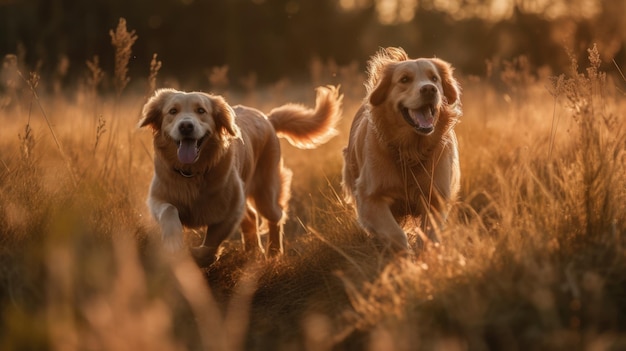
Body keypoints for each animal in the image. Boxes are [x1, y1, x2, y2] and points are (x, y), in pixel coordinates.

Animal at [138, 86, 342, 266]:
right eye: (172, 111)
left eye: (201, 110)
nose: (186, 126)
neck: (192, 172)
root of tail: (267, 118)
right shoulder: (157, 198)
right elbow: (169, 210)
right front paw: (173, 244)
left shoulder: (232, 208)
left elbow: (213, 239)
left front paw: (200, 256)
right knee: (252, 216)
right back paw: (252, 250)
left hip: (266, 192)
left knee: (275, 216)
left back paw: (273, 252)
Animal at [342, 47, 458, 253]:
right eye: (404, 79)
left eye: (434, 78)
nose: (429, 89)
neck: (411, 150)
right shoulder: (369, 197)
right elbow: (395, 234)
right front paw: (405, 257)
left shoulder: (436, 197)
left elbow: (429, 235)